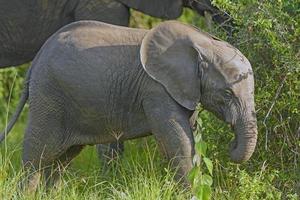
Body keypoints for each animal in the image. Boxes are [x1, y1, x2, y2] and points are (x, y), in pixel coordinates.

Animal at [0, 20, 258, 189]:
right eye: (227, 93)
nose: (232, 143)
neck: (202, 42)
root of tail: (37, 58)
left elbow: (190, 138)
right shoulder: (156, 90)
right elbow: (179, 142)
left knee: (62, 159)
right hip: (49, 95)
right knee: (38, 154)